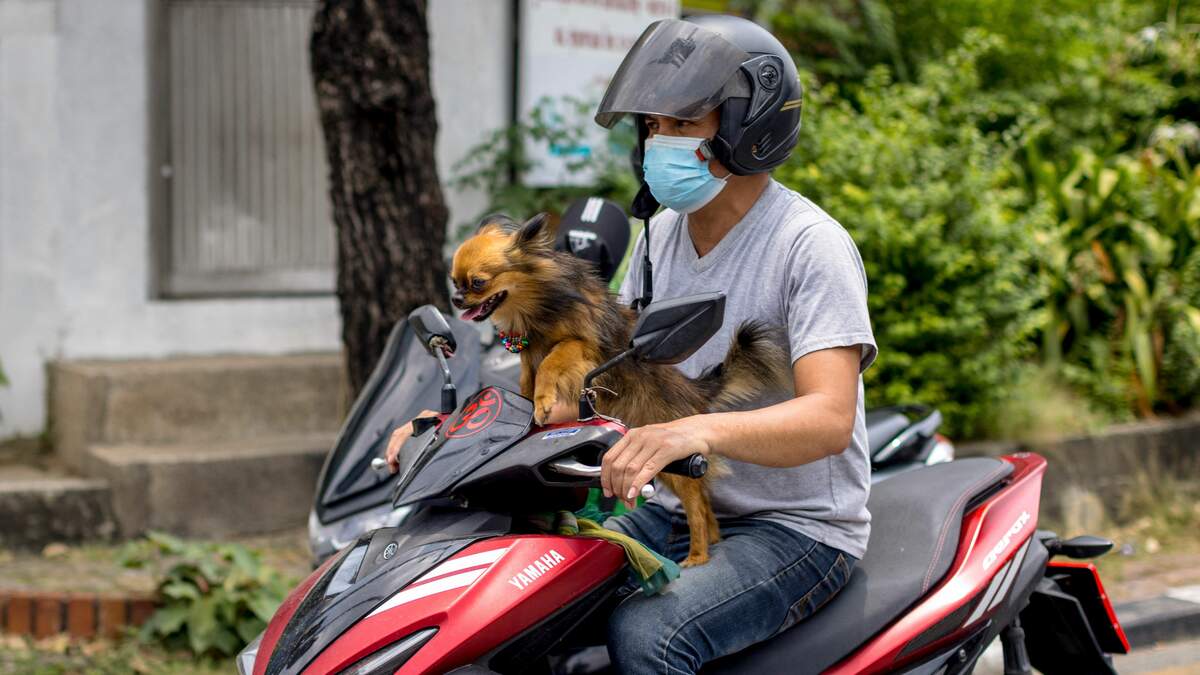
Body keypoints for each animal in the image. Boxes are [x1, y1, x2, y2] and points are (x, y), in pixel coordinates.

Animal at [450, 213, 790, 566]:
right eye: (455, 281)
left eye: (477, 282)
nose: (456, 298)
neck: (540, 302)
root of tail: (694, 391)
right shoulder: (529, 357)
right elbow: (527, 380)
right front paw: (526, 409)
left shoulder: (580, 346)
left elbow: (552, 363)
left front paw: (543, 402)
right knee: (707, 508)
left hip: (672, 460)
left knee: (696, 504)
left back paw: (698, 554)